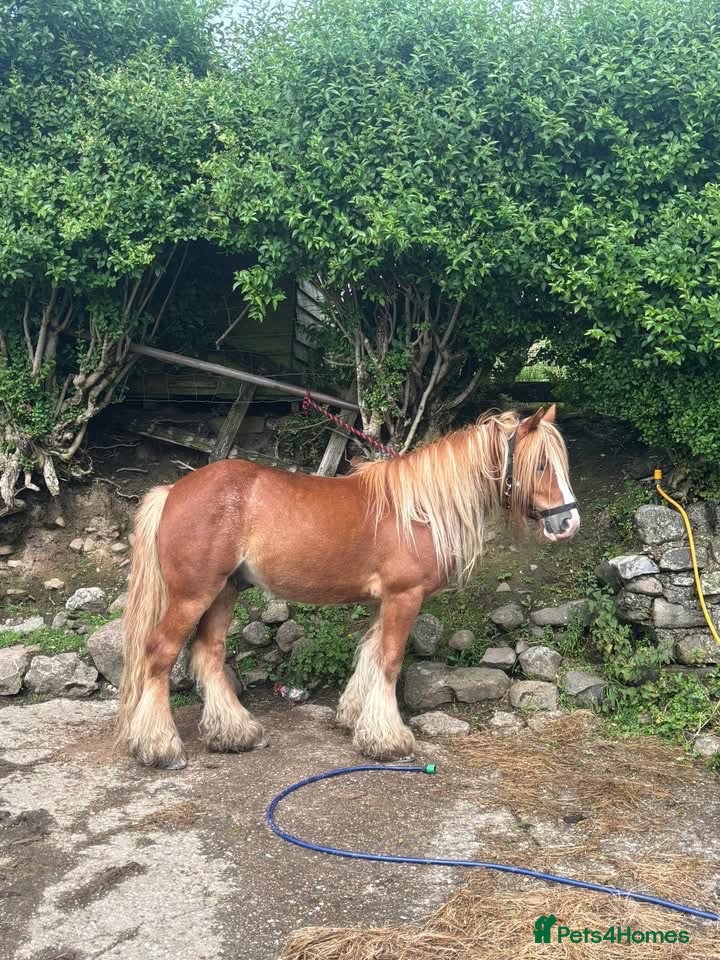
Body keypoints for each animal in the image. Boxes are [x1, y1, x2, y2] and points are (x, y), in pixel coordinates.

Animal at [117, 404, 579, 769]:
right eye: (541, 464)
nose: (568, 523)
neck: (420, 509)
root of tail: (173, 490)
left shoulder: (384, 602)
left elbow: (371, 656)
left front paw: (358, 718)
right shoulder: (404, 597)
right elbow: (390, 661)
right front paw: (389, 740)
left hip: (224, 592)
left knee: (209, 655)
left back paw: (236, 734)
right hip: (193, 596)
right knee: (160, 654)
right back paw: (161, 748)